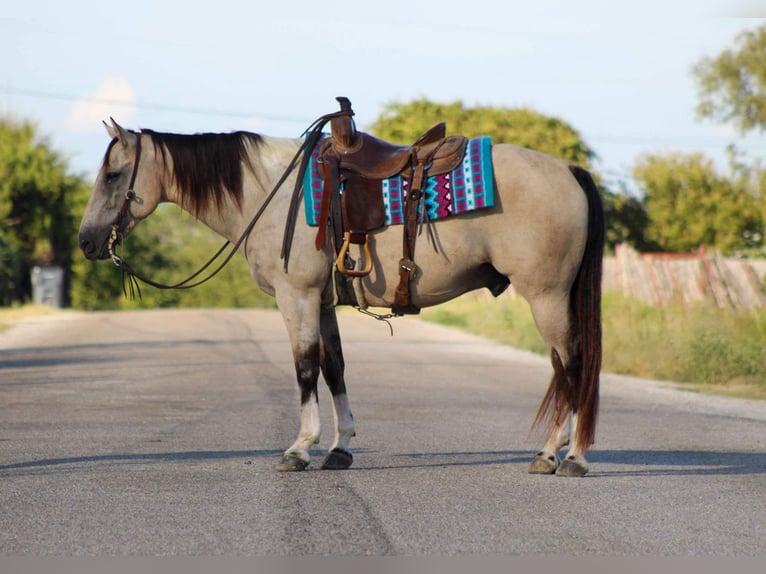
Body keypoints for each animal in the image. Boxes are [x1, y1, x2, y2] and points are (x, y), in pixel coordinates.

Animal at [78, 101, 608, 480]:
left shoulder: (296, 296)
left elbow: (304, 368)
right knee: (563, 369)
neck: (269, 192)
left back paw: (568, 458)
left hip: (546, 296)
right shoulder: (324, 301)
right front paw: (340, 447)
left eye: (113, 174)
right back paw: (554, 453)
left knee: (573, 365)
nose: (86, 241)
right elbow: (334, 367)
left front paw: (300, 448)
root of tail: (568, 171)